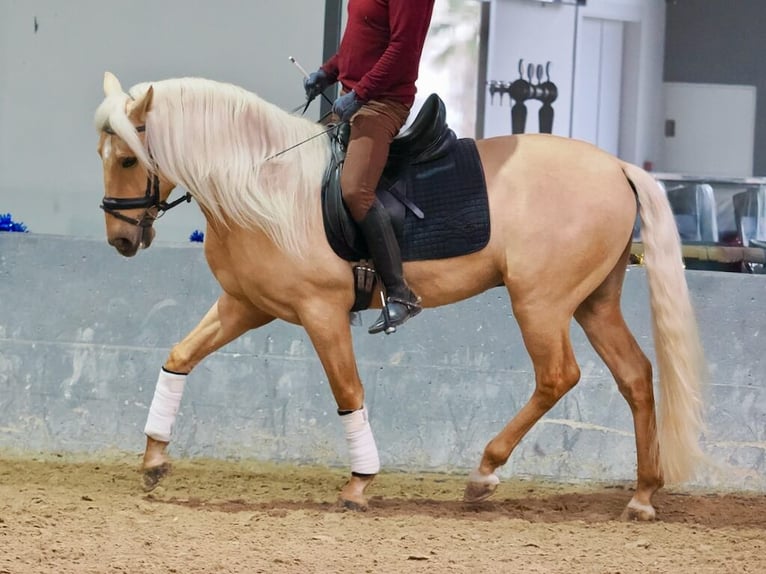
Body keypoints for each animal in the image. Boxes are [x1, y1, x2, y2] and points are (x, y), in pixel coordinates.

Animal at [96, 72, 708, 520]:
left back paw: (484, 474)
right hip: (592, 302)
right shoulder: (245, 306)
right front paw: (153, 460)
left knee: (558, 376)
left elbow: (348, 391)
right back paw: (642, 496)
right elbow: (180, 356)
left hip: (541, 302)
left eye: (127, 158)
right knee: (635, 376)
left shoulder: (320, 312)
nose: (120, 240)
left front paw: (359, 484)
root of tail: (618, 166)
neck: (262, 184)